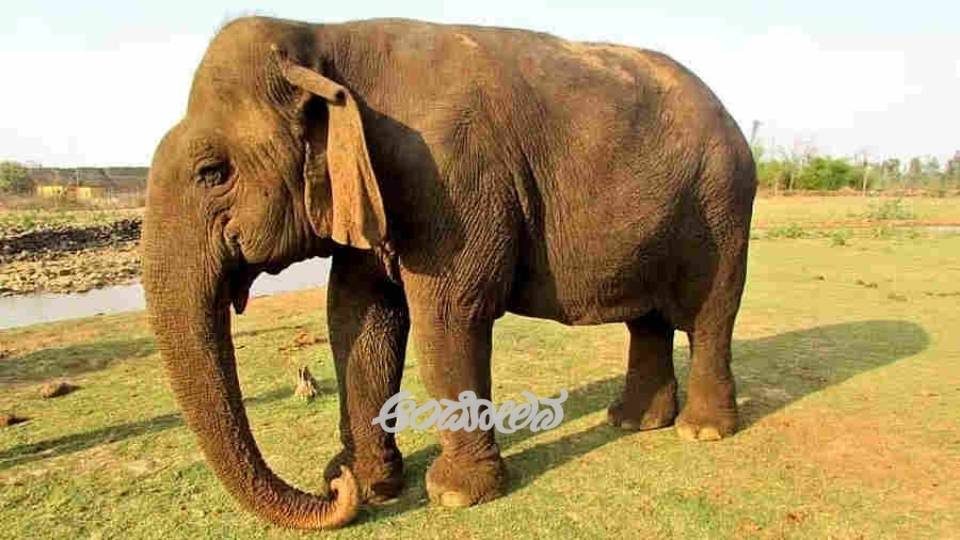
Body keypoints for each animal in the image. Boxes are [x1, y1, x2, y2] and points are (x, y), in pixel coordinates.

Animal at [141, 16, 756, 530]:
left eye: (212, 172)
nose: (333, 485)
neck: (324, 38)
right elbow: (357, 320)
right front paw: (373, 484)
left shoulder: (451, 179)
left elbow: (447, 317)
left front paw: (455, 495)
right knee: (648, 319)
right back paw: (632, 422)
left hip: (723, 204)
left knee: (711, 315)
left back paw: (701, 431)